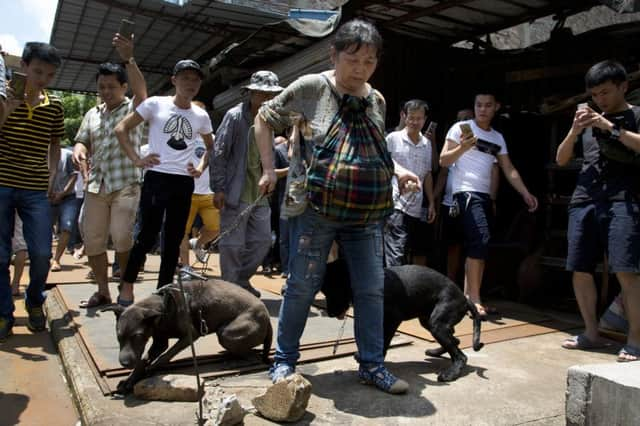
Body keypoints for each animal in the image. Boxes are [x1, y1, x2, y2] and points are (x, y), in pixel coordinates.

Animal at [322, 260, 482, 382]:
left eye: (335, 289)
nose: (330, 313)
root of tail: (465, 298)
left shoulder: (392, 319)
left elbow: (384, 340)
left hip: (437, 324)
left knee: (460, 355)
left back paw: (450, 374)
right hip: (429, 321)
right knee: (455, 340)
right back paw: (436, 352)